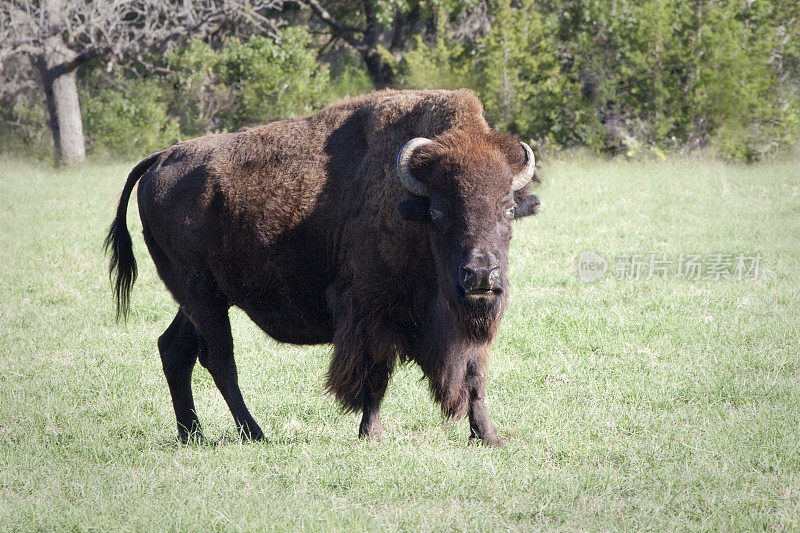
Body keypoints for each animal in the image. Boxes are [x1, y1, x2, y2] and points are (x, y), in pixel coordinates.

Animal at [104, 88, 536, 444]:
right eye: (438, 210)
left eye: (508, 208)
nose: (480, 274)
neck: (410, 208)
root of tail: (159, 159)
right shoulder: (370, 310)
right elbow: (375, 374)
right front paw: (371, 434)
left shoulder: (465, 321)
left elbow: (473, 374)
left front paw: (489, 436)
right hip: (202, 298)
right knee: (219, 359)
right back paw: (253, 433)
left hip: (200, 299)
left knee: (175, 349)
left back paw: (191, 434)